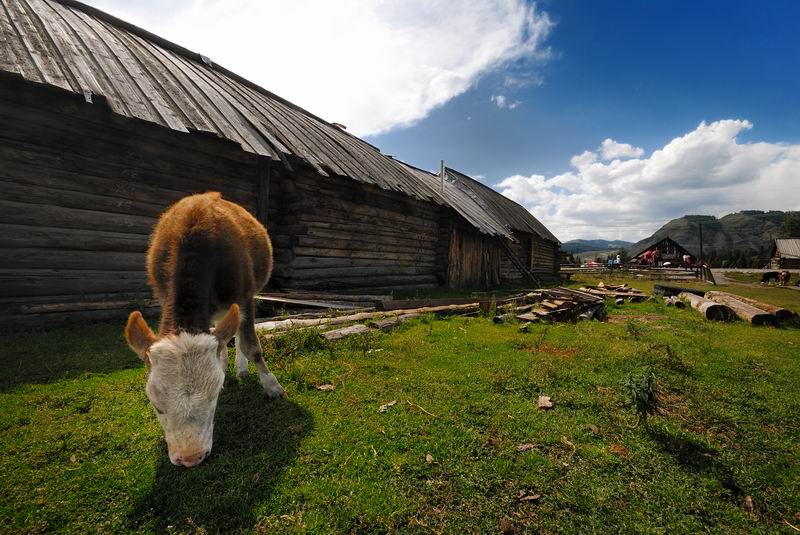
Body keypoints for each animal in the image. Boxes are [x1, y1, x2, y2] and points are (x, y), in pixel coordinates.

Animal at [125, 191, 284, 466]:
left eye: (214, 397)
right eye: (157, 406)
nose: (190, 458)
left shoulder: (245, 296)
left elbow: (251, 346)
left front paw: (272, 386)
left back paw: (241, 368)